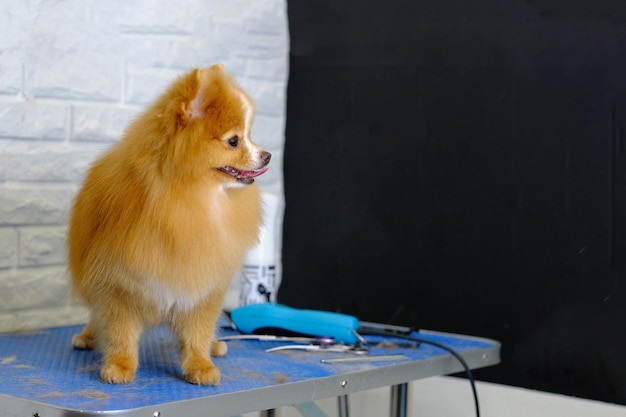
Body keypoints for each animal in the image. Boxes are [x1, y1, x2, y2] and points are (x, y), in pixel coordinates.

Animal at [67, 63, 270, 386]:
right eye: (234, 140)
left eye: (250, 135)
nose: (268, 155)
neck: (189, 198)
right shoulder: (117, 285)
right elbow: (120, 331)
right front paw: (119, 365)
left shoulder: (202, 285)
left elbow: (198, 331)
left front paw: (200, 365)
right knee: (97, 316)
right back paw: (88, 336)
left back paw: (215, 346)